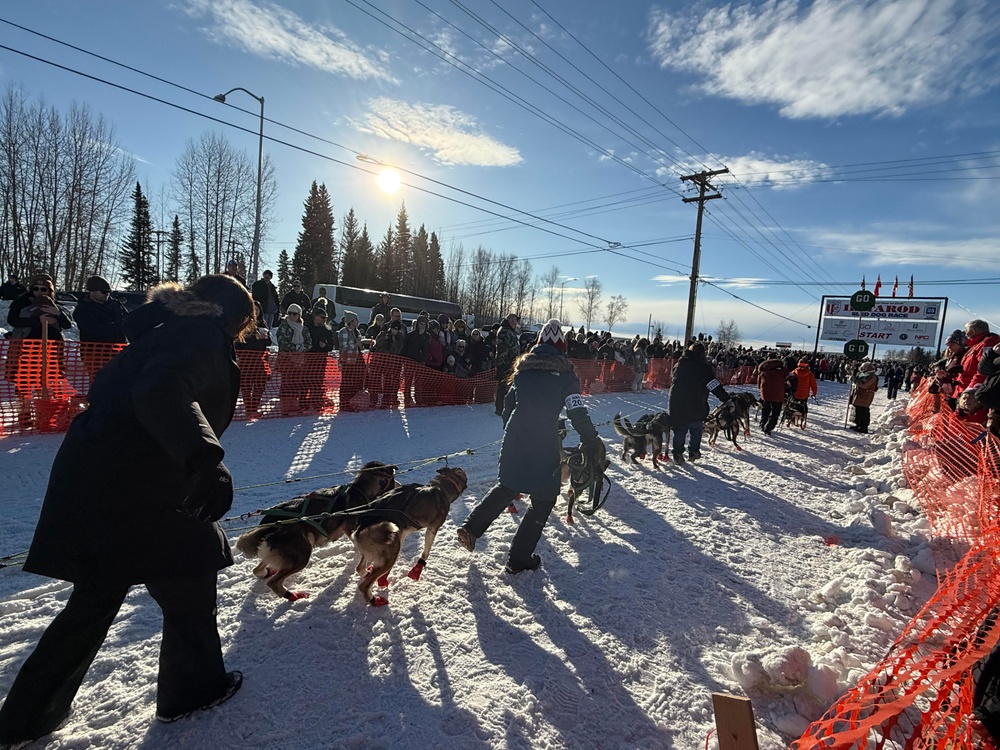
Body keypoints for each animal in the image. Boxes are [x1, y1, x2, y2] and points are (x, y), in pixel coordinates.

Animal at [238, 462, 398, 604]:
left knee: (257, 569)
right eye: (394, 479)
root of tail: (267, 525)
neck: (359, 490)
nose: (400, 485)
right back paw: (292, 596)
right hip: (301, 555)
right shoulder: (349, 527)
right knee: (273, 582)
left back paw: (267, 572)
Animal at [352, 468, 468, 608]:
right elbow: (426, 552)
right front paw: (418, 568)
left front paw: (383, 579)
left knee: (360, 568)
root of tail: (361, 526)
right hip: (391, 551)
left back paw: (368, 572)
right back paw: (374, 599)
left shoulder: (402, 533)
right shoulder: (432, 528)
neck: (441, 487)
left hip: (385, 547)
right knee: (364, 586)